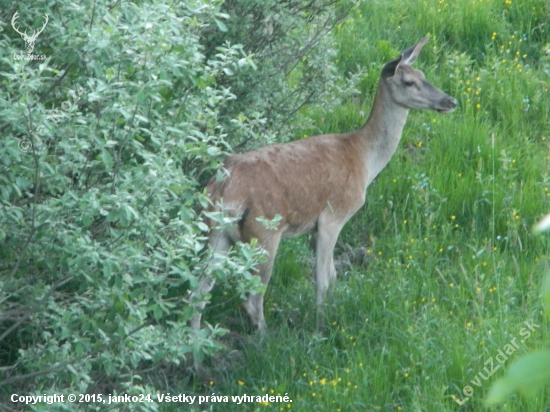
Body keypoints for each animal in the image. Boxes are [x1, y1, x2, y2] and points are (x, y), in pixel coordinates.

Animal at [192, 37, 460, 334]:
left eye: (423, 74)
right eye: (409, 82)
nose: (450, 101)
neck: (364, 161)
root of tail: (222, 188)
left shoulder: (316, 228)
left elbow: (331, 275)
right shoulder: (334, 215)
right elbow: (322, 279)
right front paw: (321, 327)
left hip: (217, 232)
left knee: (199, 289)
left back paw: (195, 342)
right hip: (264, 231)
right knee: (252, 297)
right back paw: (265, 338)